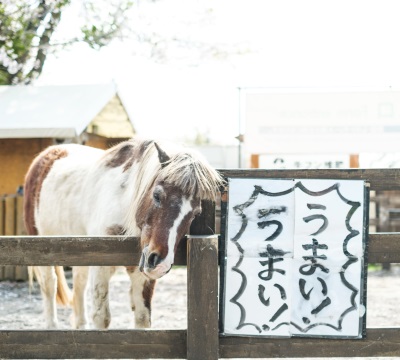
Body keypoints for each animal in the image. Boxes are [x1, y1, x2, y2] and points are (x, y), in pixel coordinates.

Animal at [22, 138, 222, 330]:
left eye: (194, 213)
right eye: (157, 195)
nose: (160, 264)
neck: (123, 200)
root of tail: (47, 155)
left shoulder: (142, 273)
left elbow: (142, 318)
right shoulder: (100, 266)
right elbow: (102, 318)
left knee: (79, 284)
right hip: (42, 245)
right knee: (50, 283)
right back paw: (52, 326)